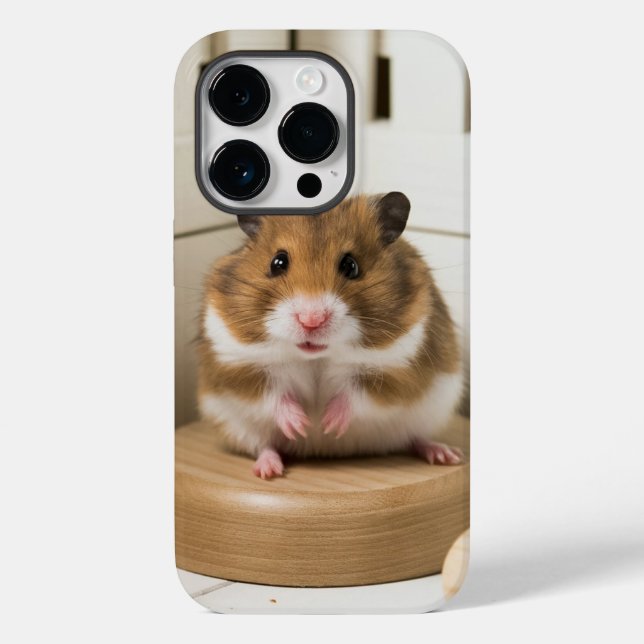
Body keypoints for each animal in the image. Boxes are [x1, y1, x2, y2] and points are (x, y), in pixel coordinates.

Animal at [197, 192, 465, 479]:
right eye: (277, 262)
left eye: (351, 265)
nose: (311, 320)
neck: (317, 357)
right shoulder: (237, 366)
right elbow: (271, 393)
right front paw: (302, 425)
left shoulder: (399, 370)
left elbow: (358, 393)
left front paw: (327, 424)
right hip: (234, 425)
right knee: (263, 446)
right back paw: (269, 471)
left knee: (415, 438)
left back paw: (447, 455)